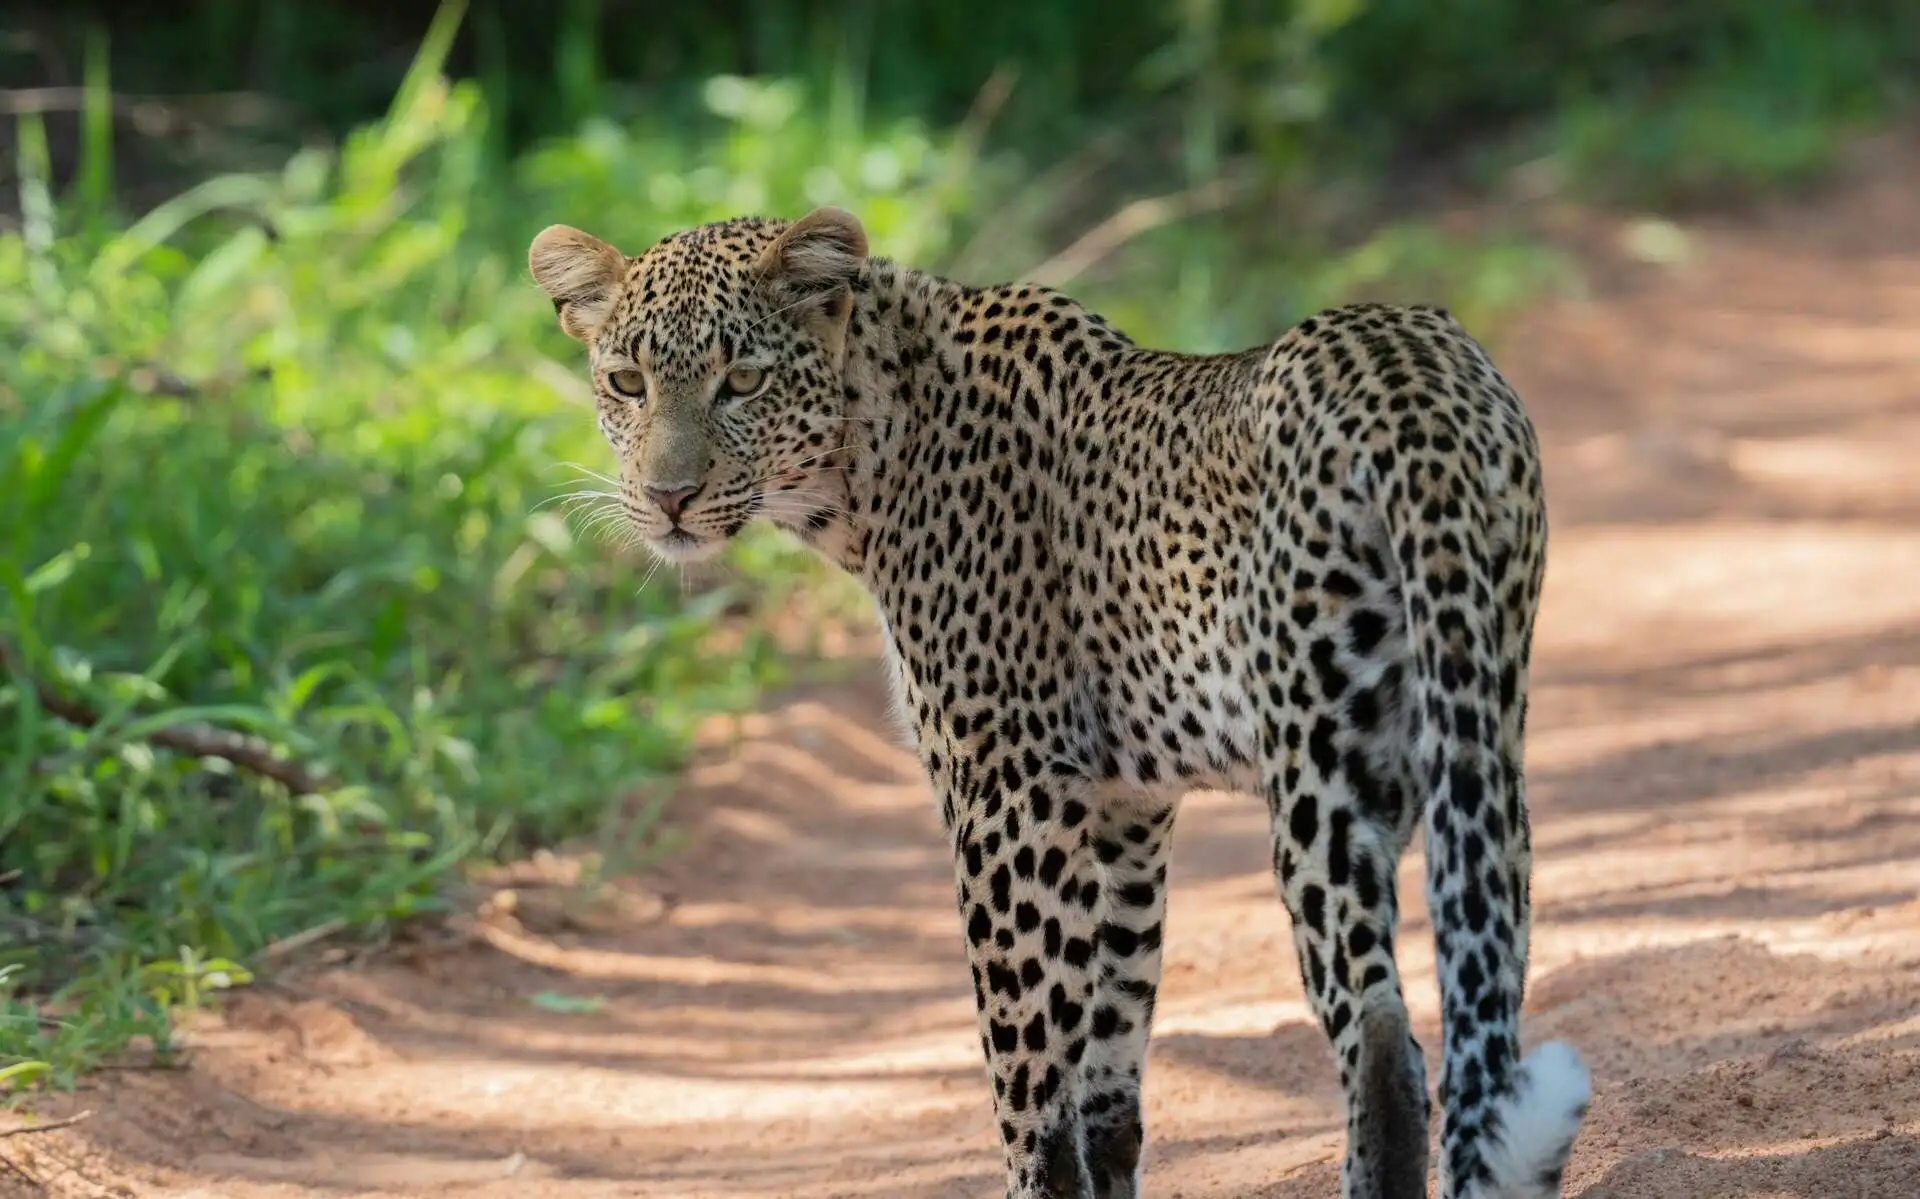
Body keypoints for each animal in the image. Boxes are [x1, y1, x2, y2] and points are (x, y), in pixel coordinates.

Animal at [526, 208, 1589, 1199]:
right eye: (627, 382)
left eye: (742, 380)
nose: (668, 496)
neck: (864, 459)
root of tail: (1409, 367)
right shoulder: (1126, 806)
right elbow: (1109, 1064)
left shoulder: (1007, 794)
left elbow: (1026, 1070)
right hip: (1481, 729)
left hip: (1321, 766)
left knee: (1381, 1039)